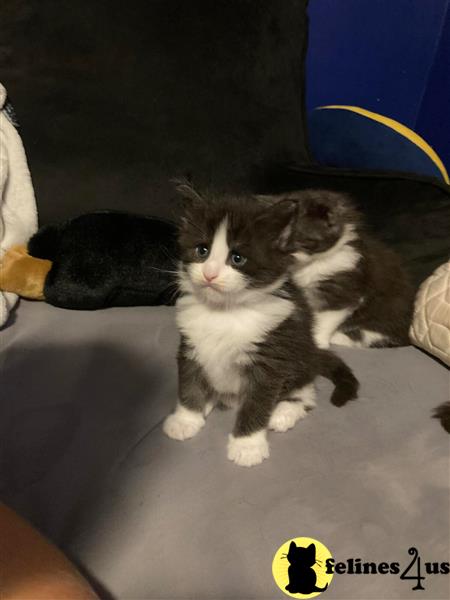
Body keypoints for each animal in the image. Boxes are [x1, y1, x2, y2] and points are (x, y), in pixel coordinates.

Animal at [163, 183, 358, 468]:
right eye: (202, 251)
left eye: (237, 258)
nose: (210, 274)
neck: (225, 312)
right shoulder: (190, 343)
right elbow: (189, 382)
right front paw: (186, 419)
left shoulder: (271, 356)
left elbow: (257, 401)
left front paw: (247, 446)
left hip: (301, 355)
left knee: (306, 390)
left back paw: (284, 411)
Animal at [258, 190, 414, 350]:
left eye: (301, 241)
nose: (282, 254)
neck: (313, 263)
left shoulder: (342, 287)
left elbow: (325, 318)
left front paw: (317, 341)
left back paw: (339, 338)